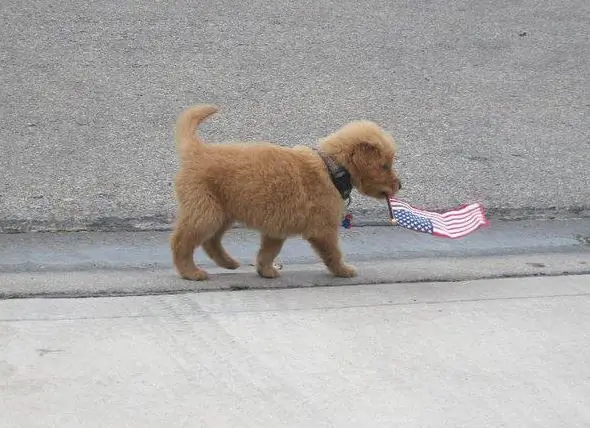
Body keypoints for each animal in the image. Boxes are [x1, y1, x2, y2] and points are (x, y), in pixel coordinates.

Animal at [171, 105, 402, 280]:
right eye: (385, 166)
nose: (400, 185)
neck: (331, 167)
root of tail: (198, 151)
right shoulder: (323, 229)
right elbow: (333, 252)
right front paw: (343, 270)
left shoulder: (276, 227)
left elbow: (268, 252)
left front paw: (265, 270)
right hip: (206, 210)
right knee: (181, 241)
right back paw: (190, 272)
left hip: (222, 212)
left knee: (211, 241)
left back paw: (229, 263)